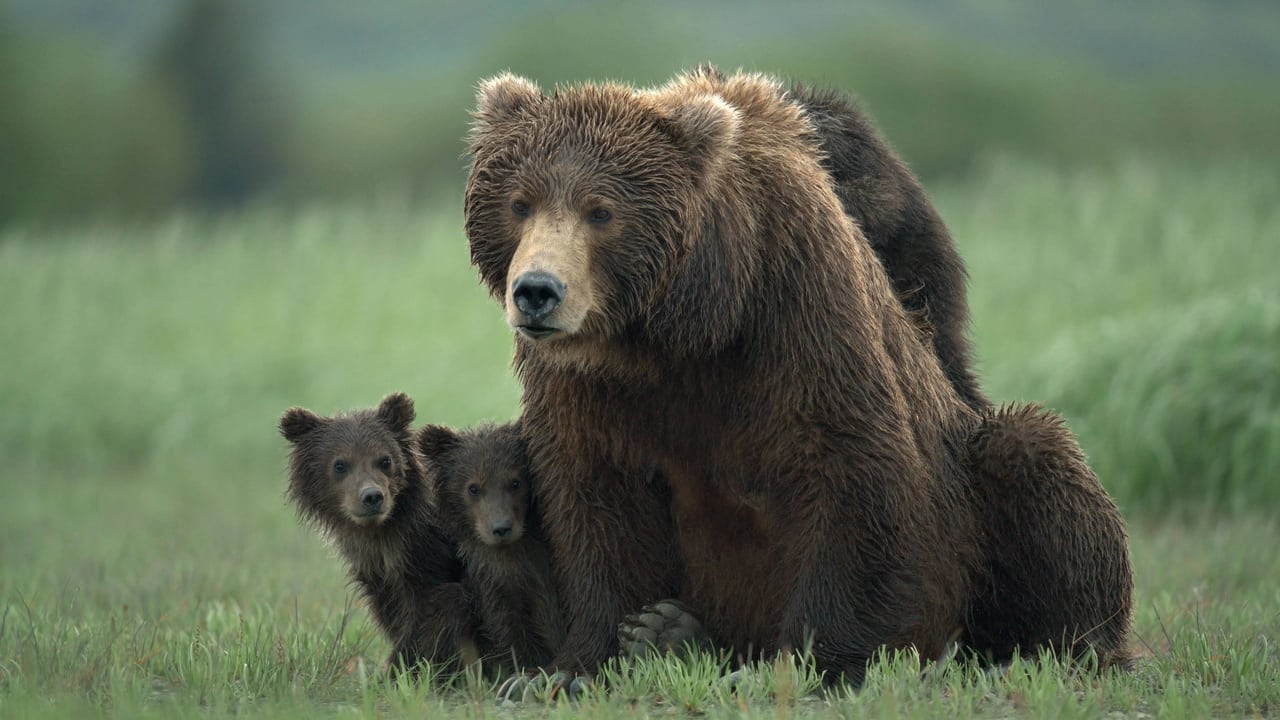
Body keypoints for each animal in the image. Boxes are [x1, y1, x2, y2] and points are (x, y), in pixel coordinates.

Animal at [277, 392, 478, 671]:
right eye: (340, 465)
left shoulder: (424, 557)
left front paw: (401, 665)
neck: (382, 533)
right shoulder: (375, 570)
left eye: (385, 460)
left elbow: (430, 614)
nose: (372, 496)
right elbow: (391, 613)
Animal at [463, 68, 1131, 691]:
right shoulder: (590, 387)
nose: (538, 291)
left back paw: (1042, 652)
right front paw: (569, 667)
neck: (682, 331)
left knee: (1036, 465)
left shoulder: (797, 309)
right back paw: (675, 631)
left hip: (976, 490)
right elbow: (595, 495)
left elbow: (849, 468)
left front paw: (806, 661)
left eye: (601, 210)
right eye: (520, 202)